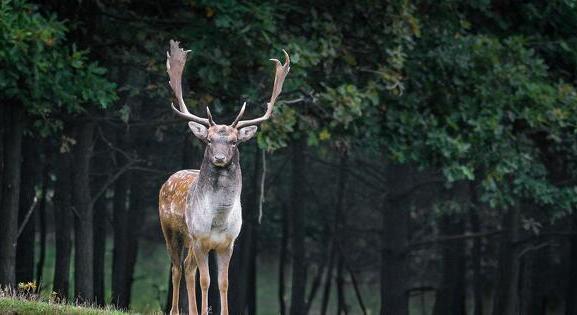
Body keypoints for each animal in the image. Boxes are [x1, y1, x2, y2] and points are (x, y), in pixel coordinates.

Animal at [158, 40, 290, 315]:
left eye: (233, 141)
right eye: (209, 140)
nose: (219, 158)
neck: (218, 220)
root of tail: (170, 178)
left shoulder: (228, 243)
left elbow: (223, 282)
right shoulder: (200, 239)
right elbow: (206, 280)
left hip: (190, 240)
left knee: (188, 267)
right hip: (171, 229)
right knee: (177, 267)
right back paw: (176, 311)